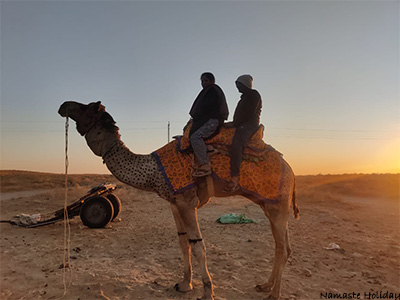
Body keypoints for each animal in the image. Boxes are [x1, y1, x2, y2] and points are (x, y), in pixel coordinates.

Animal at [57, 101, 298, 300]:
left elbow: (198, 245)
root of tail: (291, 170)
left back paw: (273, 294)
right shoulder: (174, 203)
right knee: (284, 246)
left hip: (277, 204)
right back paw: (265, 286)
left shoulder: (187, 202)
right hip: (271, 205)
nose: (63, 106)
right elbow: (183, 242)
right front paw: (184, 284)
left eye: (87, 107)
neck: (154, 171)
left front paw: (207, 292)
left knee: (281, 247)